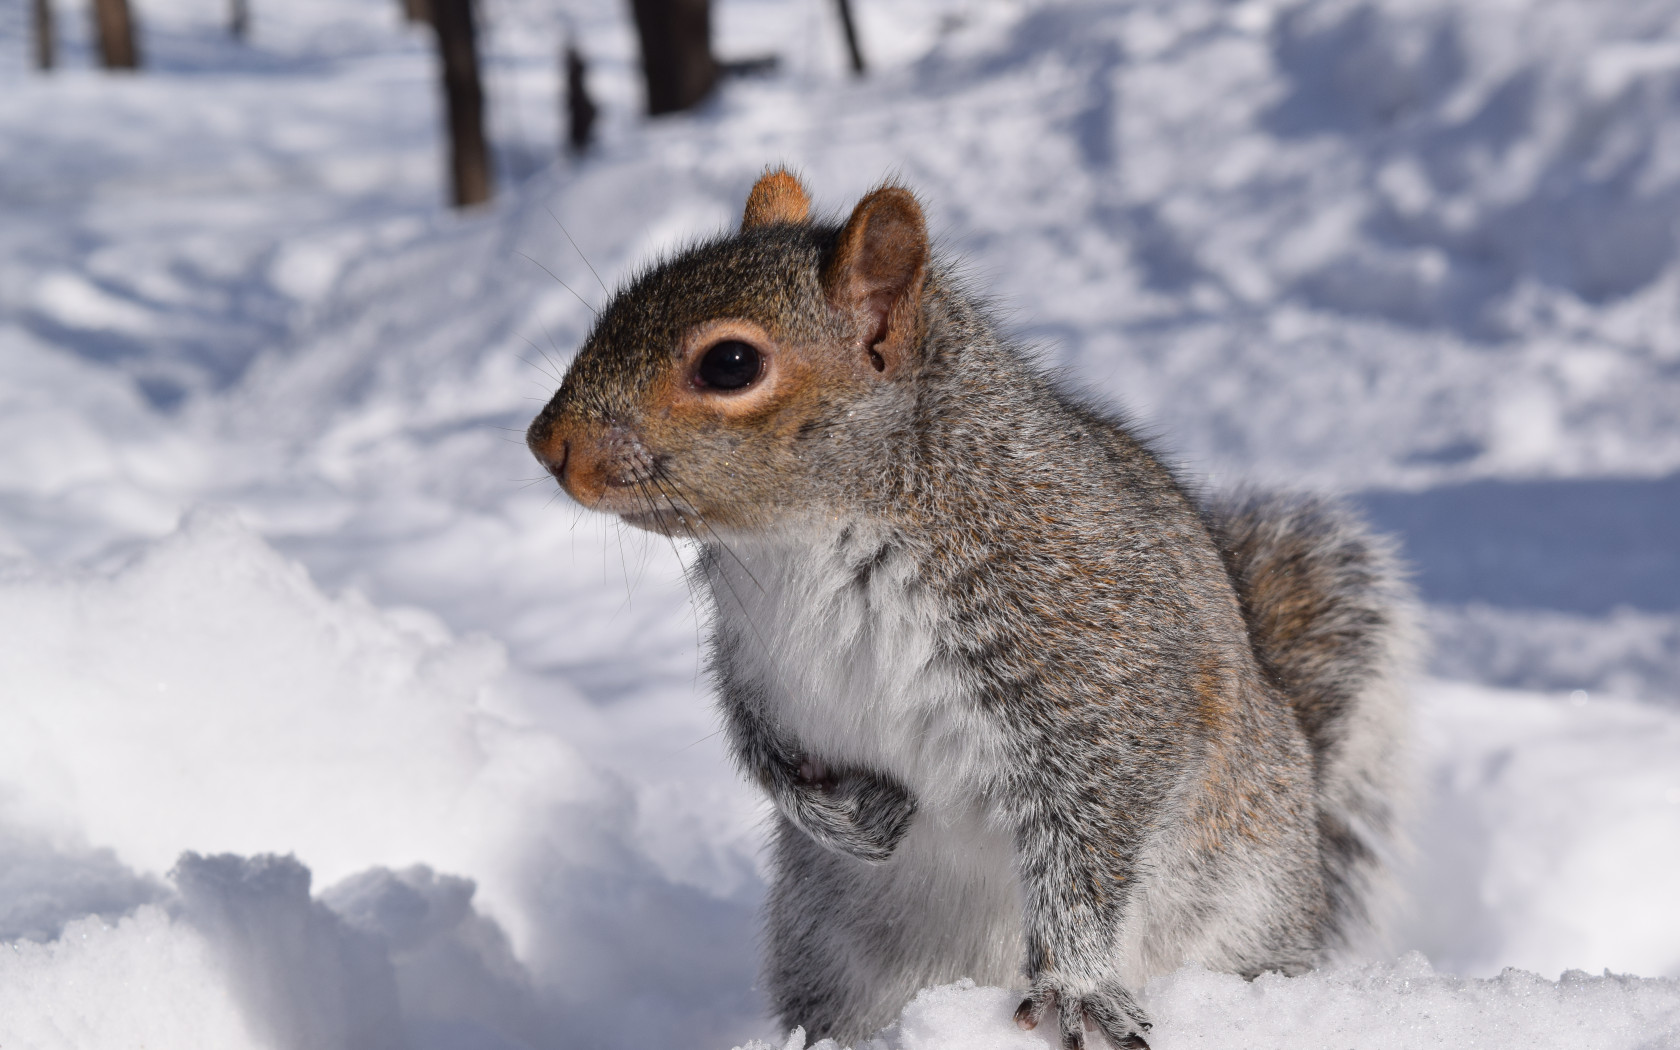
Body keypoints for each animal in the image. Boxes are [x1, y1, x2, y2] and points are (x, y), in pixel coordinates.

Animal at [527, 170, 1416, 1050]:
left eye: (731, 363)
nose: (545, 443)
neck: (804, 542)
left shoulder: (1098, 658)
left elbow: (1091, 830)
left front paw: (1075, 987)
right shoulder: (753, 659)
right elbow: (760, 749)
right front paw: (849, 817)